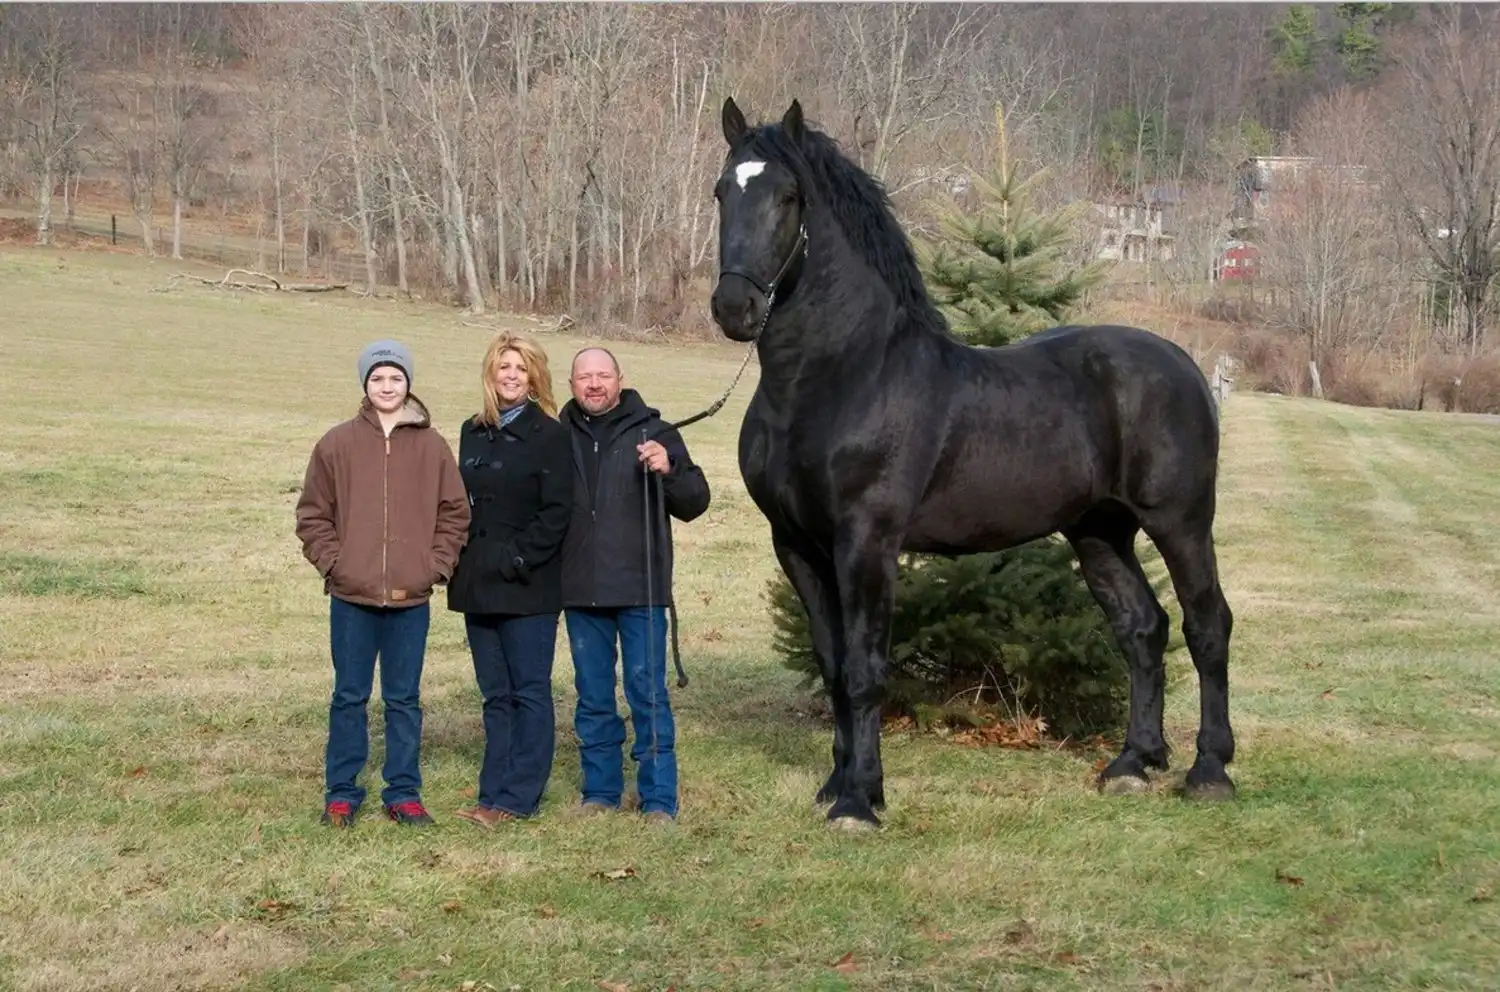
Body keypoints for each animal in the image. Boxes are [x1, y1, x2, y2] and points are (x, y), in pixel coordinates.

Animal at [708, 97, 1236, 831]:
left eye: (788, 196)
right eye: (722, 192)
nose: (735, 307)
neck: (840, 376)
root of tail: (1183, 364)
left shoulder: (866, 543)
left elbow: (866, 670)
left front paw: (859, 802)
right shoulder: (797, 546)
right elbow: (834, 666)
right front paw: (839, 782)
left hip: (1180, 522)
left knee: (1206, 624)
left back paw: (1210, 770)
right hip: (1099, 531)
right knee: (1142, 629)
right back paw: (1133, 763)